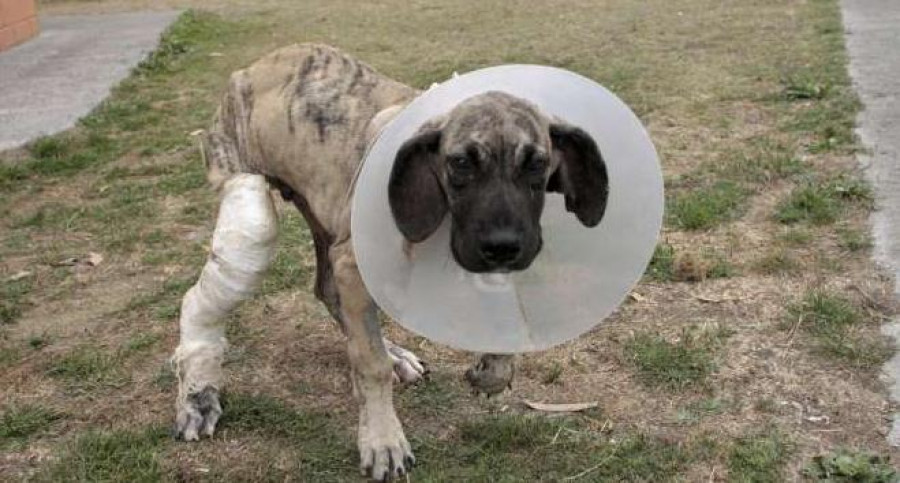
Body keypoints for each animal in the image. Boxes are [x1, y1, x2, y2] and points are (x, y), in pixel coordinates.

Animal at [172, 43, 608, 482]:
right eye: (461, 163)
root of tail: (250, 69)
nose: (503, 247)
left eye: (537, 163)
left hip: (327, 218)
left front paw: (492, 371)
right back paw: (198, 395)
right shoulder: (354, 266)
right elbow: (370, 362)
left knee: (327, 291)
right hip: (248, 192)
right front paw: (382, 440)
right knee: (210, 293)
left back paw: (397, 353)